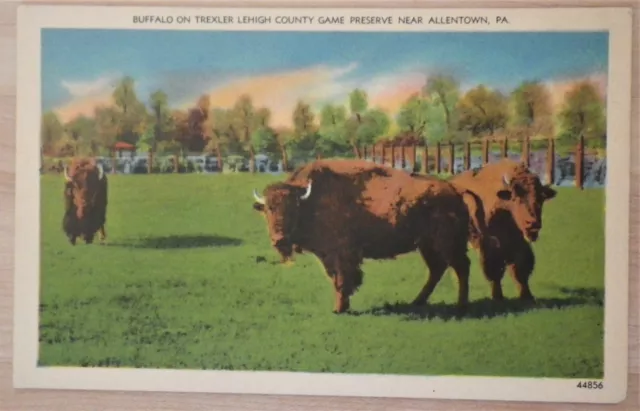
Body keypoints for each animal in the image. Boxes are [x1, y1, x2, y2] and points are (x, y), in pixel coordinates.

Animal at [252, 161, 472, 316]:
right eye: (268, 209)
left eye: (292, 209)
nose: (279, 240)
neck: (311, 200)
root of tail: (454, 191)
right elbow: (337, 279)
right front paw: (342, 306)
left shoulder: (341, 254)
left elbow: (342, 280)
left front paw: (339, 309)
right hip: (427, 246)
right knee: (437, 270)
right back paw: (417, 301)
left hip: (446, 243)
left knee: (461, 267)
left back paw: (460, 307)